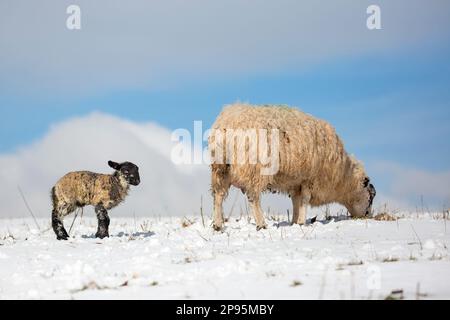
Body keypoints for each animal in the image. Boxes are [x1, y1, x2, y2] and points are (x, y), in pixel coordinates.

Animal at [210, 104, 376, 231]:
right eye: (370, 197)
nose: (368, 215)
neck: (342, 175)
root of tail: (229, 121)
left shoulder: (296, 182)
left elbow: (296, 201)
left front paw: (295, 222)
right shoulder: (310, 178)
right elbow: (305, 200)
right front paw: (302, 222)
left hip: (221, 170)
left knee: (218, 196)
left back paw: (218, 225)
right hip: (254, 170)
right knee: (253, 198)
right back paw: (261, 224)